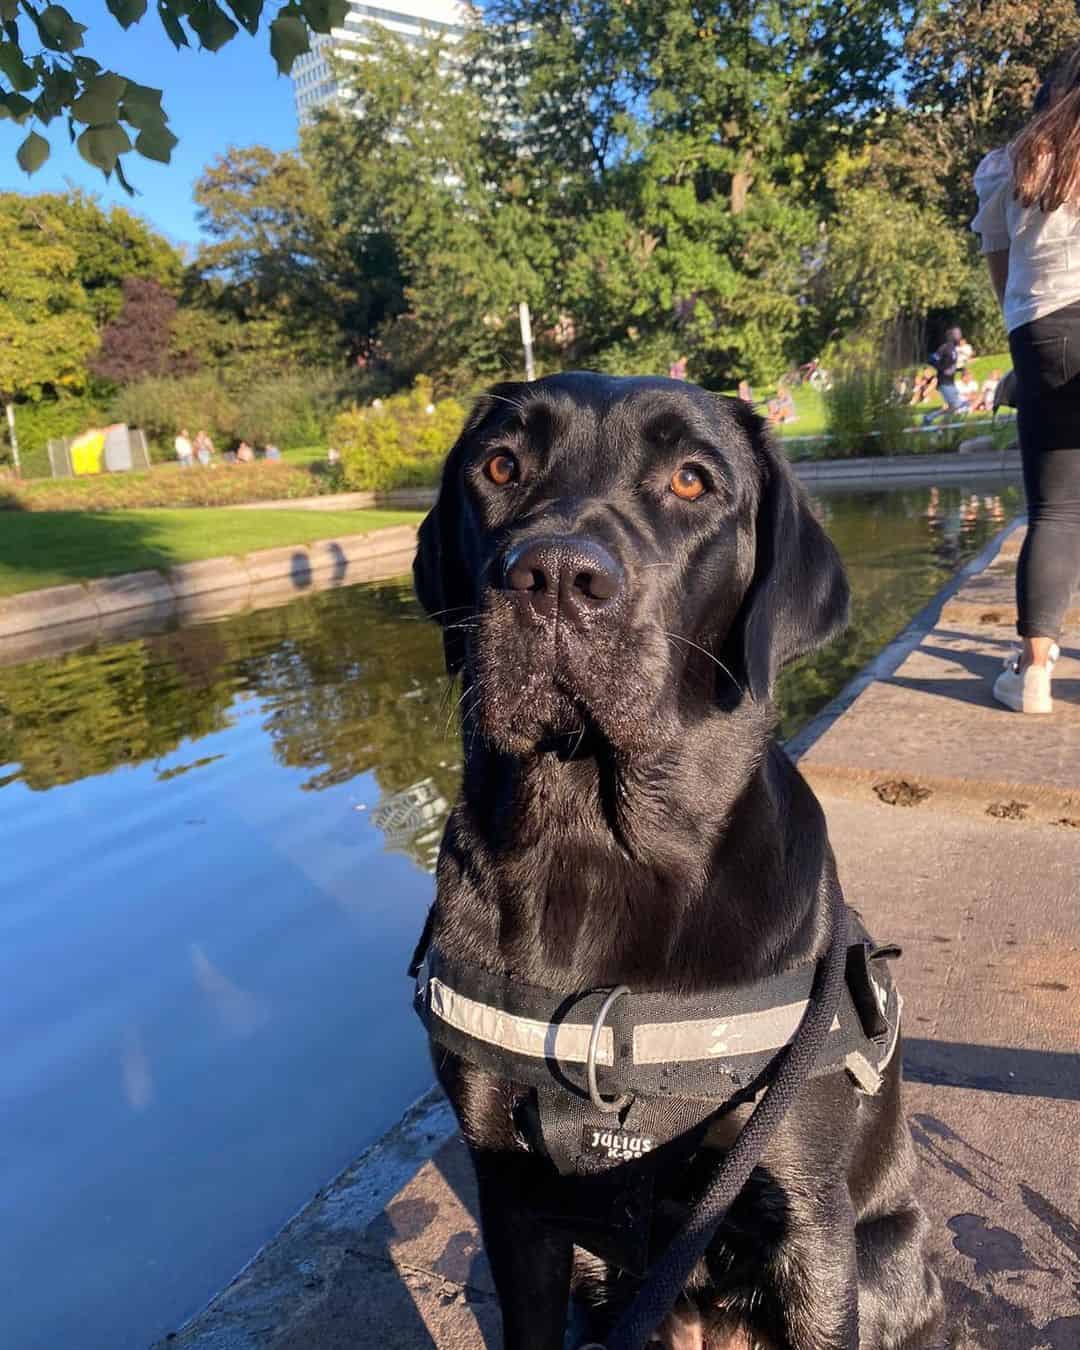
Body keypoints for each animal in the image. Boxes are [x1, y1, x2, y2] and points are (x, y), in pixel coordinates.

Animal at [410, 372, 939, 1350]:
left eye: (692, 480)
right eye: (498, 466)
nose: (552, 576)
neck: (596, 849)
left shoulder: (806, 1217)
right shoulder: (513, 1201)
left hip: (882, 1261)